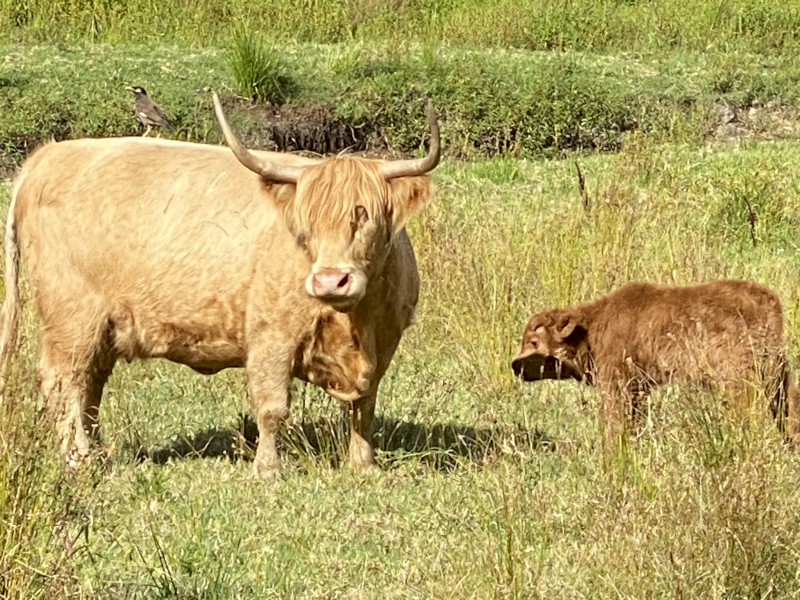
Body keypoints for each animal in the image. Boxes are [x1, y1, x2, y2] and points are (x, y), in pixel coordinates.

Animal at [0, 94, 440, 479]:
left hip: (103, 328)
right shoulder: (271, 337)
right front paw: (268, 470)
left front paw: (363, 464)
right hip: (72, 317)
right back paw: (79, 460)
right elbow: (272, 406)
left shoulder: (385, 343)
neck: (356, 325)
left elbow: (364, 407)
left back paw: (98, 453)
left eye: (363, 215)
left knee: (90, 387)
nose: (330, 280)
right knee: (64, 382)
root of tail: (46, 158)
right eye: (305, 224)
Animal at [511, 280, 800, 455]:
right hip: (775, 371)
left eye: (534, 341)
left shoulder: (616, 383)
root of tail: (768, 301)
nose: (515, 365)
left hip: (738, 378)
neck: (592, 328)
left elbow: (614, 424)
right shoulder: (639, 388)